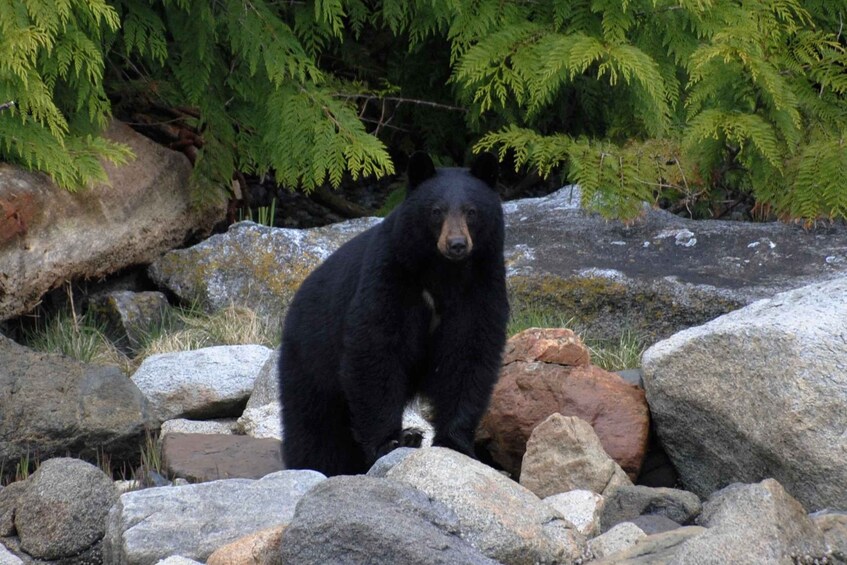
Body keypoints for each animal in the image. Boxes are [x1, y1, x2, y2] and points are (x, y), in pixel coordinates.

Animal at [278, 152, 509, 476]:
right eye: (436, 211)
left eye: (472, 212)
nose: (456, 244)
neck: (444, 273)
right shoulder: (391, 274)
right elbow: (376, 347)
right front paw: (390, 441)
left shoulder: (481, 286)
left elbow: (469, 353)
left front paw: (455, 442)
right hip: (311, 359)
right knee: (314, 426)